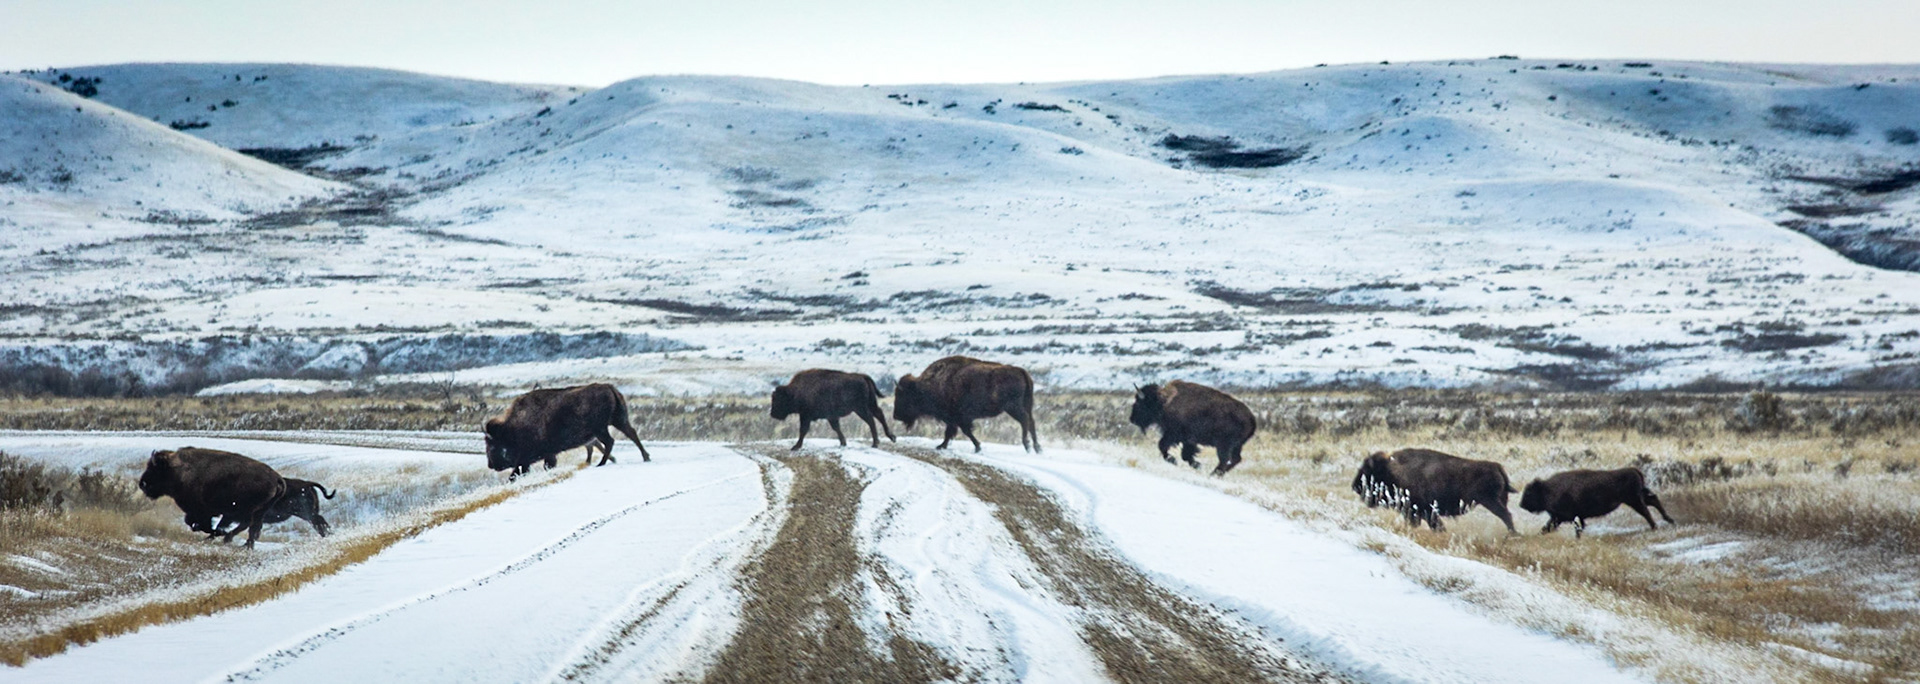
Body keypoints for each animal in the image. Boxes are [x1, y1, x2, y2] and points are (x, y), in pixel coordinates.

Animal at [139, 447, 287, 548]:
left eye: (154, 469)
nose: (142, 483)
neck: (178, 470)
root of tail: (276, 478)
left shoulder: (201, 511)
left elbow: (195, 523)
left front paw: (215, 532)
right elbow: (193, 523)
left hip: (249, 511)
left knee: (249, 525)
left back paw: (231, 540)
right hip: (257, 511)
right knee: (251, 527)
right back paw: (239, 543)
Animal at [484, 383, 651, 478]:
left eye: (492, 446)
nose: (491, 465)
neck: (512, 429)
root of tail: (610, 388)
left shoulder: (535, 456)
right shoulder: (538, 457)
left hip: (601, 428)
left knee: (611, 441)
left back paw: (601, 463)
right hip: (618, 421)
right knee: (631, 434)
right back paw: (645, 457)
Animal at [1351, 448, 1518, 533]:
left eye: (1367, 471)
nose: (1355, 486)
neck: (1392, 469)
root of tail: (1496, 466)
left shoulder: (1420, 511)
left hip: (1490, 501)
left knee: (1506, 516)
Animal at [1519, 467, 1675, 537]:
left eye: (1529, 493)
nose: (1521, 504)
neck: (1547, 488)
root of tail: (1633, 470)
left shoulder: (1561, 517)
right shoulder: (1568, 517)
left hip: (1634, 500)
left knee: (1646, 511)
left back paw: (1655, 526)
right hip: (1637, 498)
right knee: (1653, 501)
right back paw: (1669, 520)